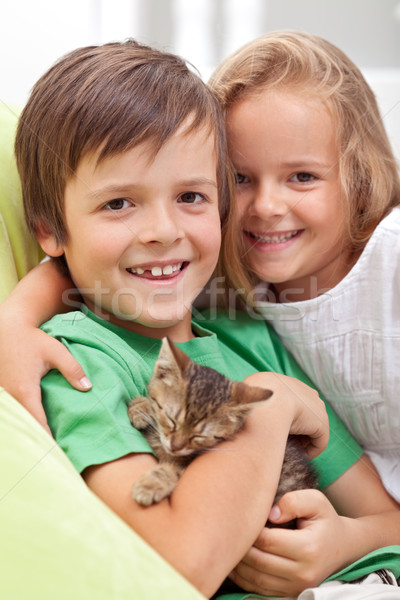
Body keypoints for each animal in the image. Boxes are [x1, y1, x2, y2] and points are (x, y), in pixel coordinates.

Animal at [130, 336, 318, 508]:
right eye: (171, 420)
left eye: (199, 436)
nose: (175, 447)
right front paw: (140, 407)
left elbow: (176, 471)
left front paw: (152, 484)